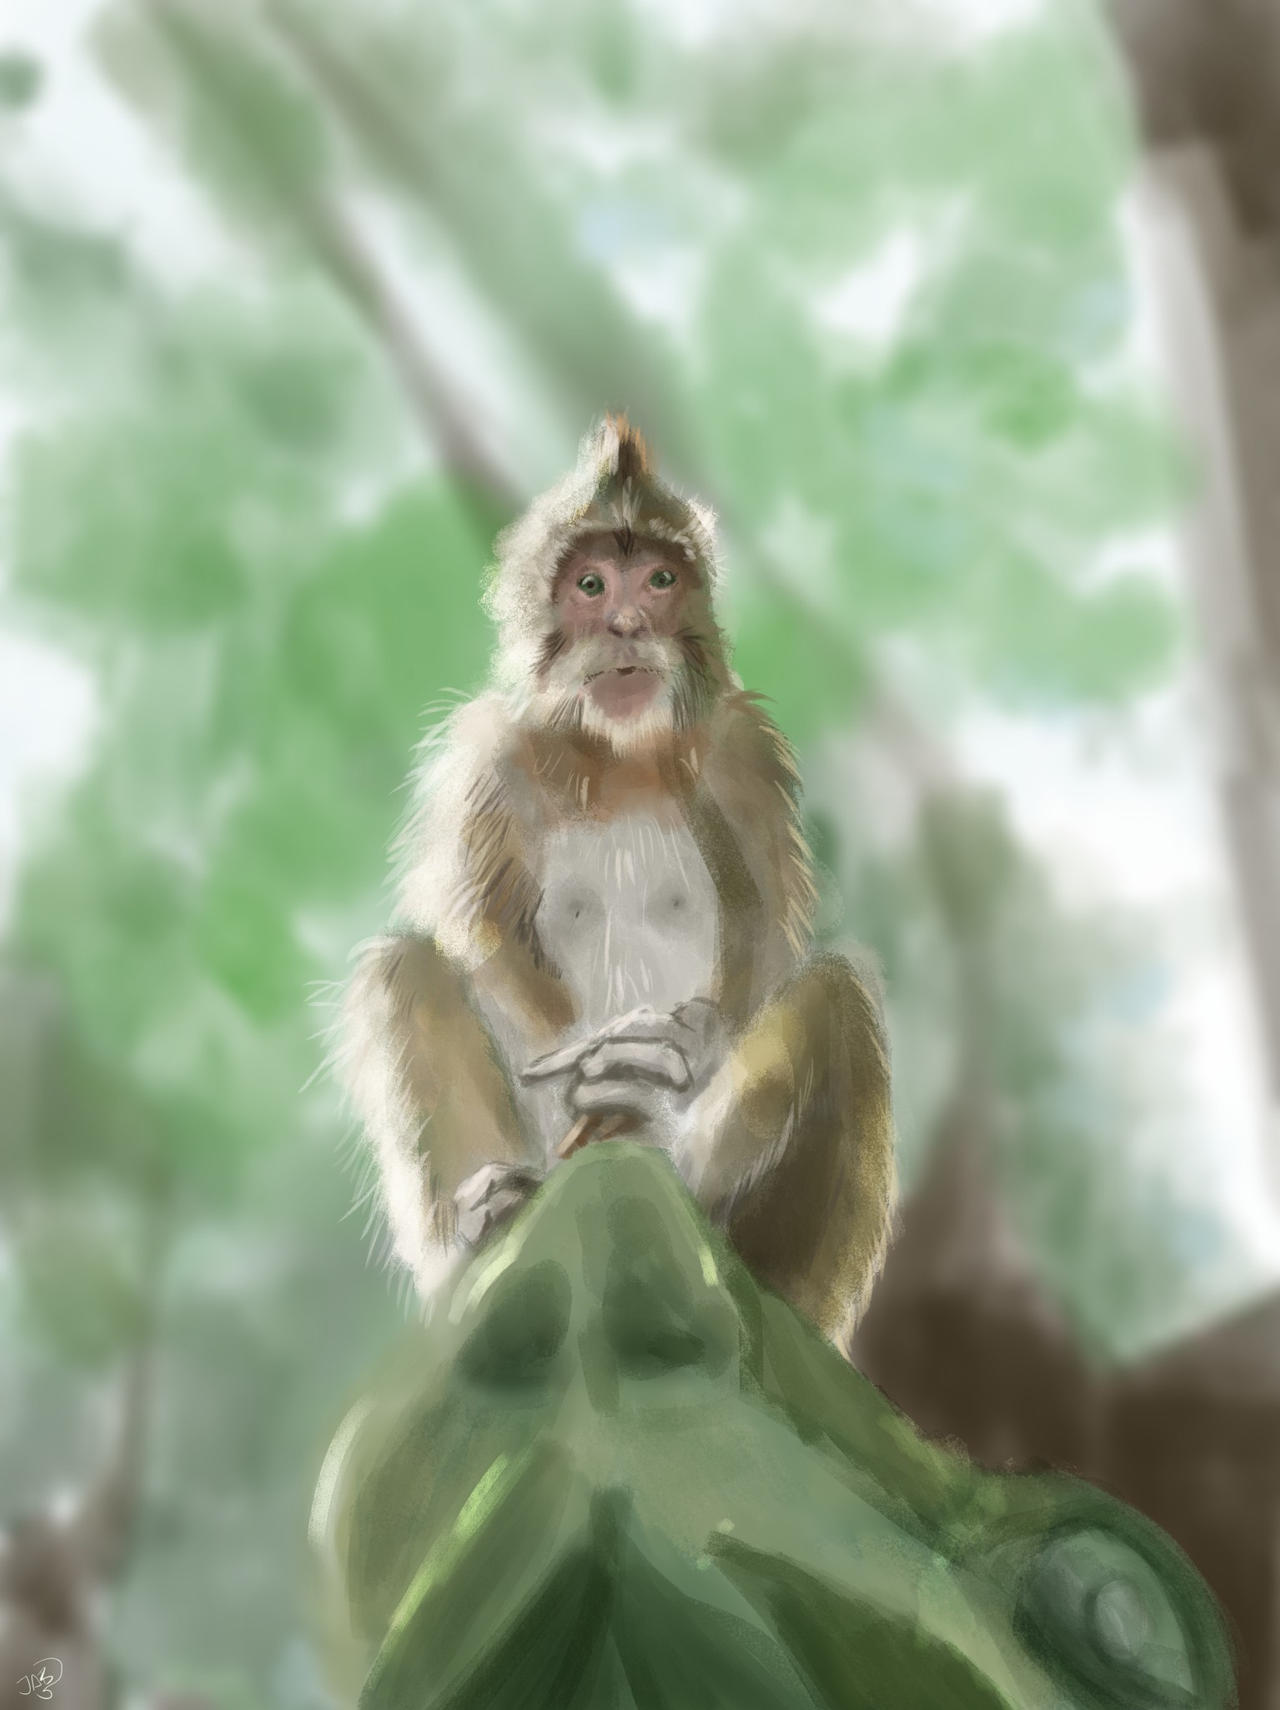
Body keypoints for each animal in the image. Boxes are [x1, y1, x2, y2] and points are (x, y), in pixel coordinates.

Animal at [339, 416, 896, 1344]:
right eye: (591, 585)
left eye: (660, 580)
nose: (630, 623)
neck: (616, 757)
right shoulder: (488, 754)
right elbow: (483, 939)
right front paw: (593, 1072)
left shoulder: (744, 752)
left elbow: (768, 949)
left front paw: (671, 1056)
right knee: (399, 968)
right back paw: (484, 1231)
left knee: (840, 996)